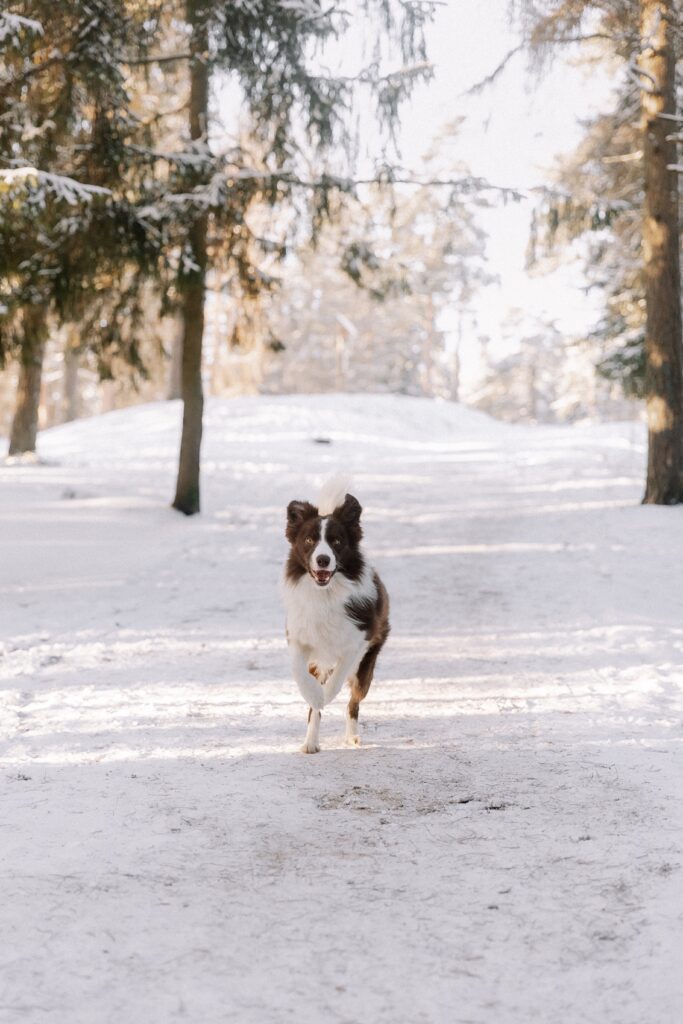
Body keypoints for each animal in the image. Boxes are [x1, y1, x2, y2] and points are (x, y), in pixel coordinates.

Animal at [282, 479, 389, 753]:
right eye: (309, 539)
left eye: (337, 542)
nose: (322, 559)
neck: (326, 594)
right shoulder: (299, 637)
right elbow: (299, 673)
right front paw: (314, 695)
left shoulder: (359, 639)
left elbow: (340, 675)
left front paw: (326, 694)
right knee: (315, 710)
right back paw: (310, 742)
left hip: (367, 664)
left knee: (354, 700)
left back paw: (352, 737)